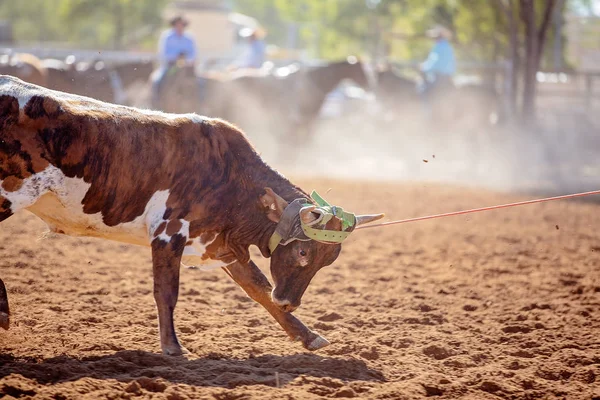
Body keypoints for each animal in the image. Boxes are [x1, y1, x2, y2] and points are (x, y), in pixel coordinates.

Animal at [0, 76, 382, 356]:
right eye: (303, 252)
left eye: (327, 260)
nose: (288, 302)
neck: (230, 175)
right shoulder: (169, 232)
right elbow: (166, 290)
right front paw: (173, 347)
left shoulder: (221, 243)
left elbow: (257, 287)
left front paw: (307, 335)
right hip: (7, 195)